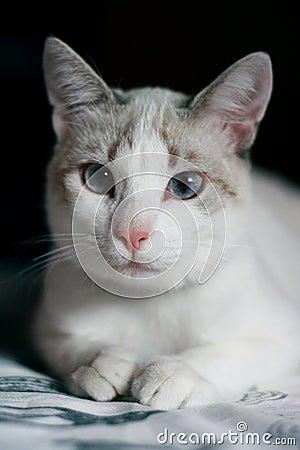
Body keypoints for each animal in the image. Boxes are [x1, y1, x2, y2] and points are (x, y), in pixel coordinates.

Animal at [32, 38, 300, 410]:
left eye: (184, 186)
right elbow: (70, 345)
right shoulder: (47, 327)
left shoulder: (285, 336)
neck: (147, 305)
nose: (133, 233)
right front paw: (101, 363)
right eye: (98, 178)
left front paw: (173, 373)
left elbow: (227, 353)